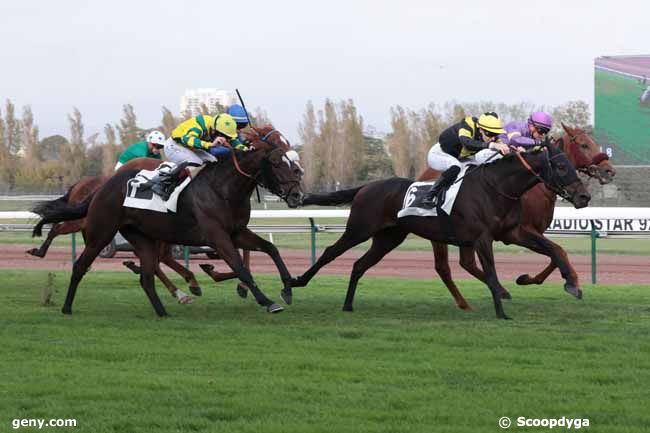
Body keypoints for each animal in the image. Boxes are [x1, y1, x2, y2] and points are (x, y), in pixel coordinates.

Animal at [292, 147, 588, 318]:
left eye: (572, 165)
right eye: (562, 166)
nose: (584, 196)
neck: (496, 187)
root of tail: (366, 187)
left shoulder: (514, 233)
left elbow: (555, 250)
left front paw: (572, 284)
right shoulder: (482, 238)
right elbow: (492, 274)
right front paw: (502, 311)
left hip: (388, 238)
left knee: (358, 265)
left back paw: (348, 305)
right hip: (359, 229)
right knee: (330, 253)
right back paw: (295, 283)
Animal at [416, 122, 612, 304]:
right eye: (584, 145)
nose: (609, 171)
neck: (533, 188)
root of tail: (422, 175)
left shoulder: (531, 232)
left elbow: (556, 254)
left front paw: (528, 279)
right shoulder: (518, 231)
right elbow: (556, 252)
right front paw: (567, 283)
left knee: (466, 263)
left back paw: (500, 291)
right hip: (440, 232)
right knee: (445, 267)